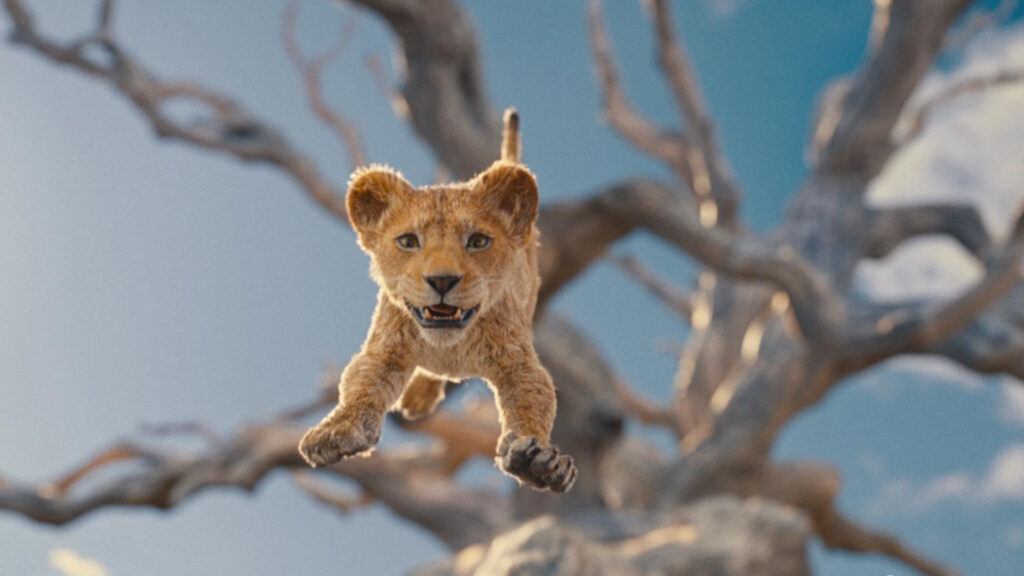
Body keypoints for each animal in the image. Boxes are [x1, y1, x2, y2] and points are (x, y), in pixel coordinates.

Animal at [298, 109, 577, 493]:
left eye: (478, 241)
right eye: (408, 241)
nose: (442, 280)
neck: (448, 345)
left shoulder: (517, 362)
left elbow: (533, 400)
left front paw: (537, 461)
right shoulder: (384, 349)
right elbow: (360, 386)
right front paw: (335, 430)